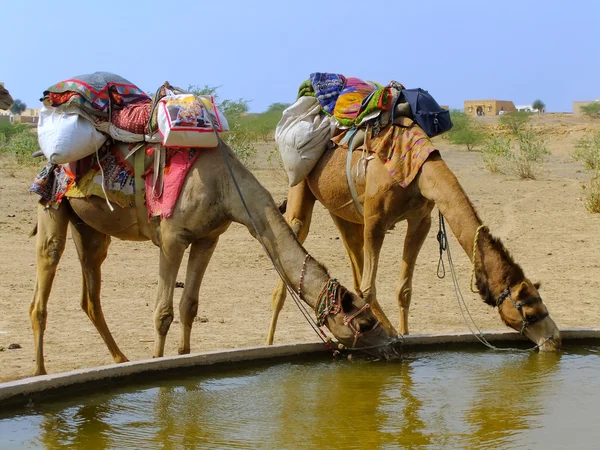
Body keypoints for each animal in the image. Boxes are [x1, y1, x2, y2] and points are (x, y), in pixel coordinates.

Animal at [30, 141, 400, 376]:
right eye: (365, 323)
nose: (393, 348)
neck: (229, 190)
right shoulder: (172, 238)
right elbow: (163, 312)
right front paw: (156, 363)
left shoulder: (208, 239)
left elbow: (189, 306)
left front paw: (184, 357)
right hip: (52, 205)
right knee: (45, 276)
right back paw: (40, 370)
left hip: (90, 228)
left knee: (90, 293)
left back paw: (121, 358)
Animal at [268, 126, 564, 352]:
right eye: (530, 313)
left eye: (543, 304)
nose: (555, 340)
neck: (421, 174)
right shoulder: (375, 218)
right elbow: (369, 287)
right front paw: (389, 336)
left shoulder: (421, 219)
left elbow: (404, 290)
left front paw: (405, 336)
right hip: (301, 187)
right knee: (290, 251)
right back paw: (270, 343)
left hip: (341, 212)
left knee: (353, 267)